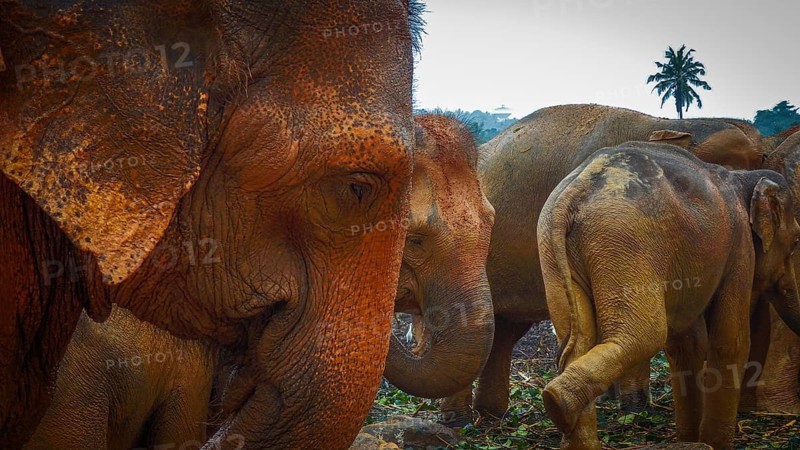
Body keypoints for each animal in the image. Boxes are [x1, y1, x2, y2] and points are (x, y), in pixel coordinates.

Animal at [428, 104, 769, 425]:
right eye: (723, 172)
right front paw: (632, 407)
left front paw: (613, 401)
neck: (669, 123)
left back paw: (491, 415)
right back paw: (459, 421)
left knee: (503, 330)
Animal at [537, 142, 800, 450]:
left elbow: (687, 345)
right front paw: (712, 444)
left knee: (576, 343)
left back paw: (563, 413)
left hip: (552, 251)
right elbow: (729, 341)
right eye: (796, 241)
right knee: (643, 334)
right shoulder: (740, 248)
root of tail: (574, 191)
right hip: (624, 243)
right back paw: (557, 402)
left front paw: (690, 439)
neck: (742, 178)